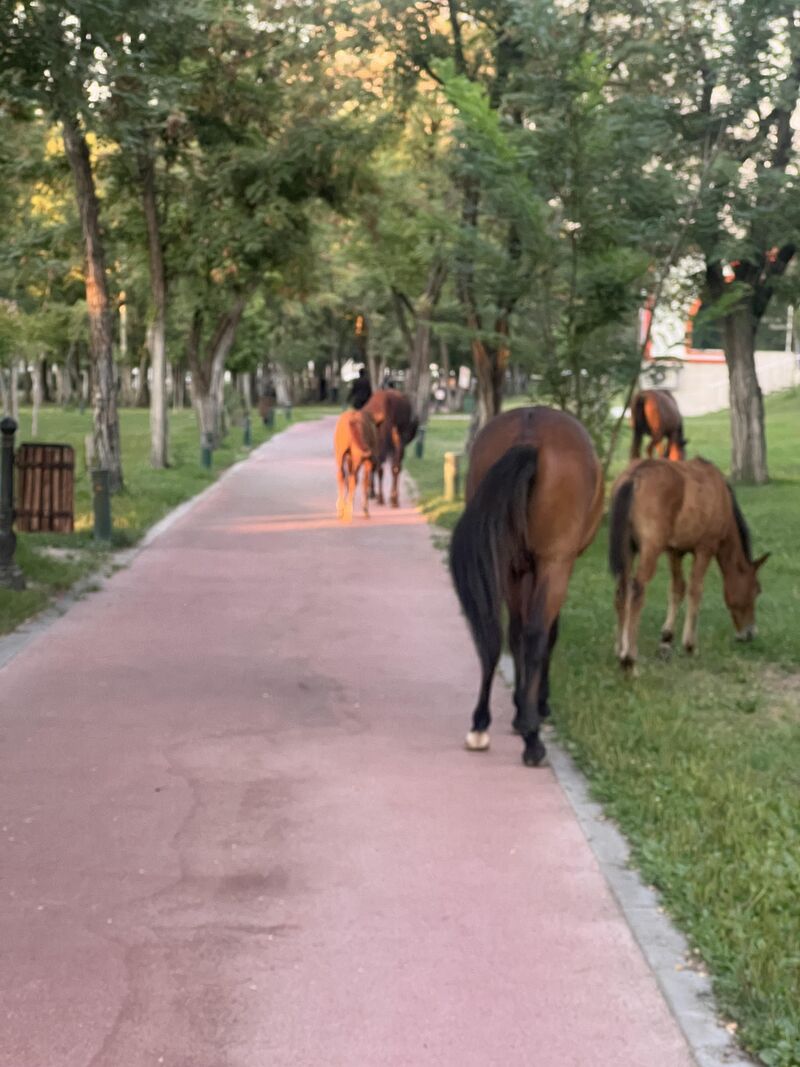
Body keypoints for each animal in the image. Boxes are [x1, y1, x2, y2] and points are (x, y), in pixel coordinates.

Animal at [449, 407, 604, 767]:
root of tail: (529, 434)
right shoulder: (556, 564)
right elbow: (547, 632)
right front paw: (536, 706)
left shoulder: (519, 569)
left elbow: (515, 632)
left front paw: (521, 707)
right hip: (554, 563)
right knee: (535, 634)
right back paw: (533, 741)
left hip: (507, 563)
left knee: (496, 635)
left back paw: (480, 725)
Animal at [609, 457, 769, 668]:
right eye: (756, 590)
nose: (750, 633)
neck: (721, 495)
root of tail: (635, 476)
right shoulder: (705, 548)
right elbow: (695, 590)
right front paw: (690, 645)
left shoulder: (675, 552)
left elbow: (678, 588)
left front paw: (666, 640)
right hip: (650, 550)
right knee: (637, 591)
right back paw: (629, 654)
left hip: (628, 550)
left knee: (622, 590)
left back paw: (620, 648)